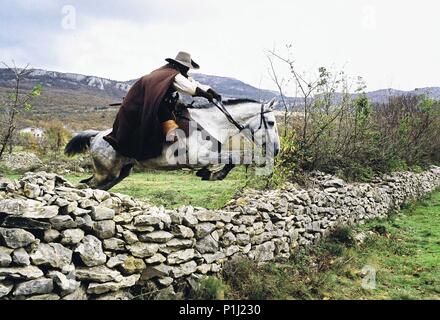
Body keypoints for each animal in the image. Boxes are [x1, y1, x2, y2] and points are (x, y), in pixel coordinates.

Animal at [63, 98, 280, 190]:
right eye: (270, 123)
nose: (276, 150)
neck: (212, 123)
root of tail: (97, 136)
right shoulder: (198, 157)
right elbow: (234, 158)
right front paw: (214, 175)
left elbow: (231, 159)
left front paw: (207, 173)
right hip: (105, 172)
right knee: (87, 185)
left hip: (119, 173)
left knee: (95, 187)